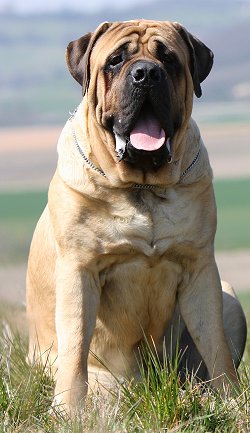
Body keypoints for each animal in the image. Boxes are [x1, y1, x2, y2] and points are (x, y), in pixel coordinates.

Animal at [25, 21, 246, 412]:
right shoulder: (79, 270)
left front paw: (230, 401)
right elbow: (75, 345)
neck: (142, 187)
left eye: (169, 59)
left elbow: (215, 344)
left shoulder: (200, 268)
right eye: (115, 60)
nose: (146, 73)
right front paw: (68, 410)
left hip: (230, 298)